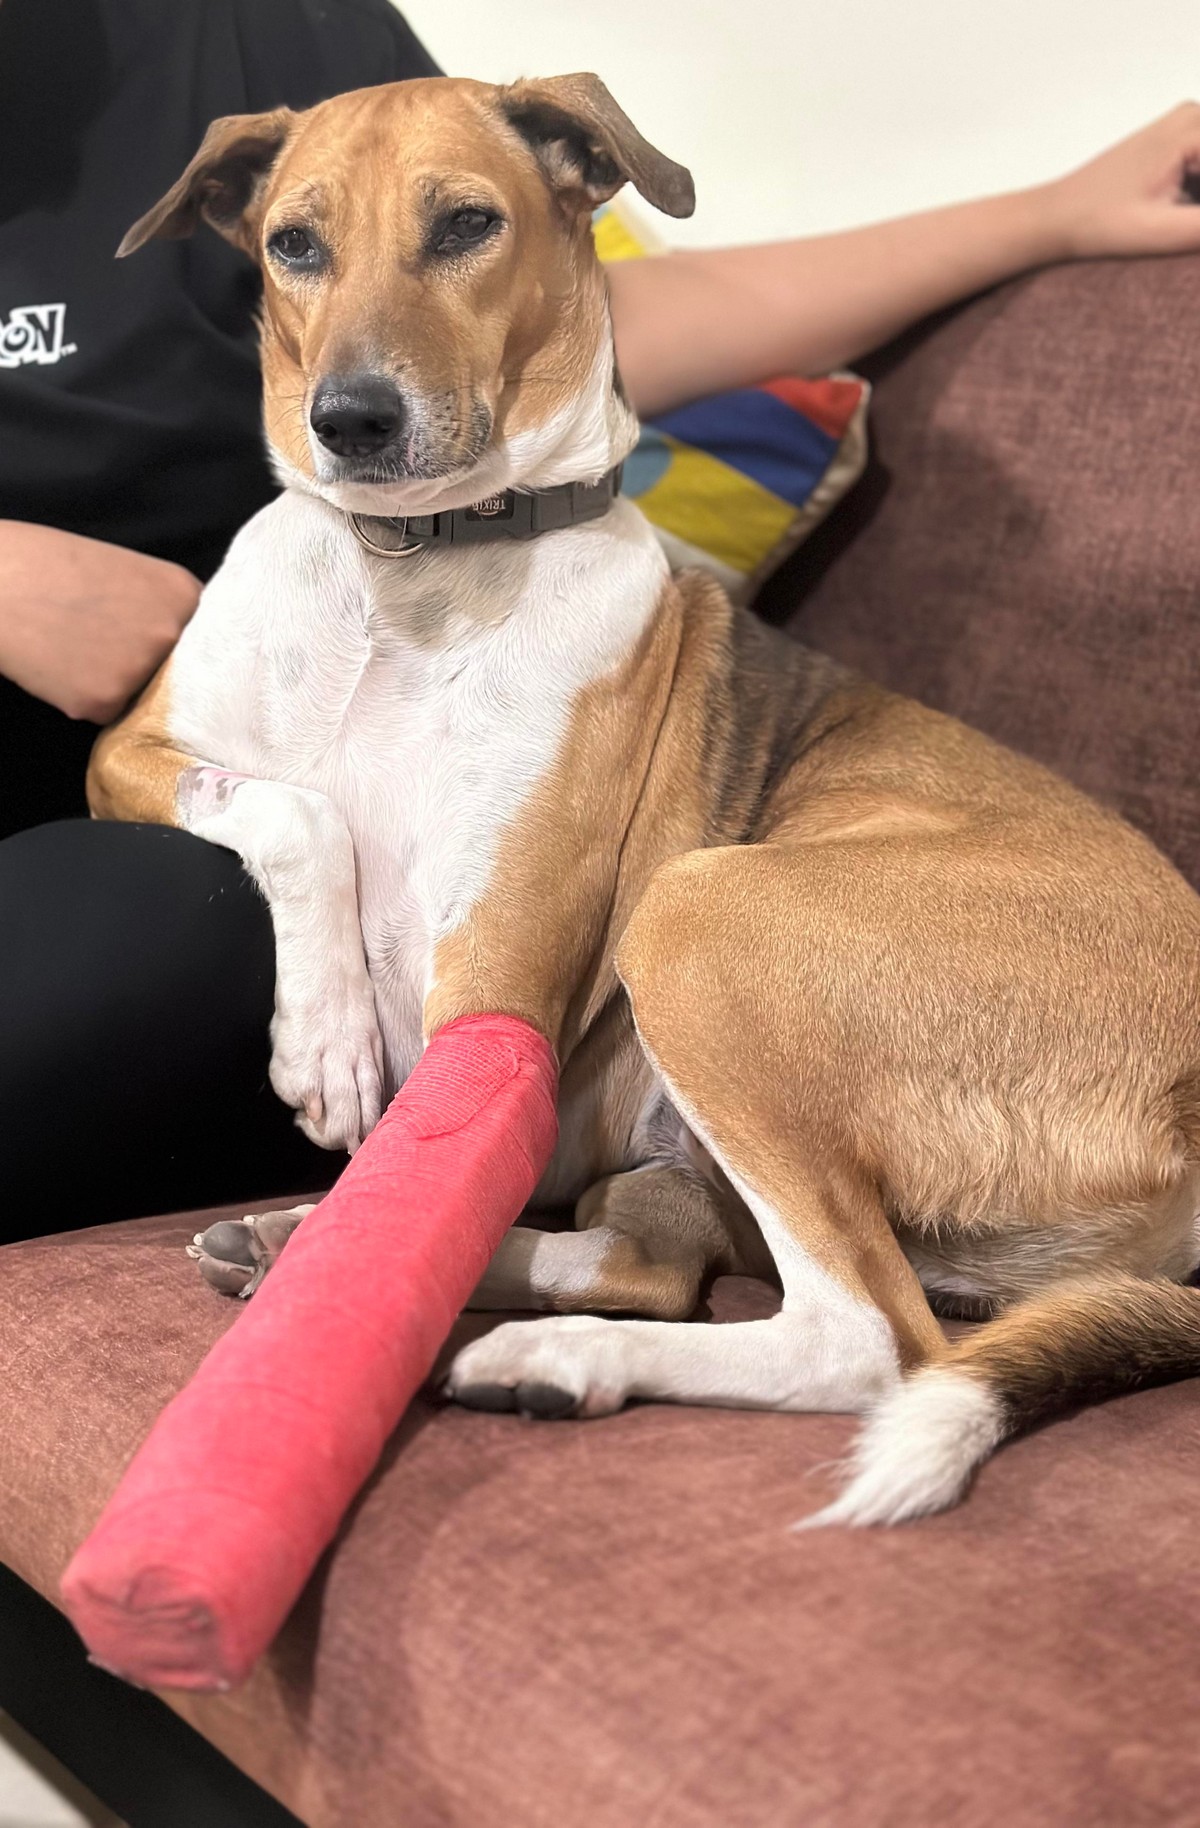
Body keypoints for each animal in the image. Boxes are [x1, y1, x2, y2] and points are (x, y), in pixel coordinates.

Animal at [91, 73, 1200, 1525]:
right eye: (295, 245)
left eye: (467, 225)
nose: (352, 420)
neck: (413, 574)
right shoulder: (131, 753)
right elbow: (292, 805)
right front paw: (327, 1041)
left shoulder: (492, 982)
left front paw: (324, 1064)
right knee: (655, 1260)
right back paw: (309, 1242)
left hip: (692, 915)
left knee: (866, 1340)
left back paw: (549, 1352)